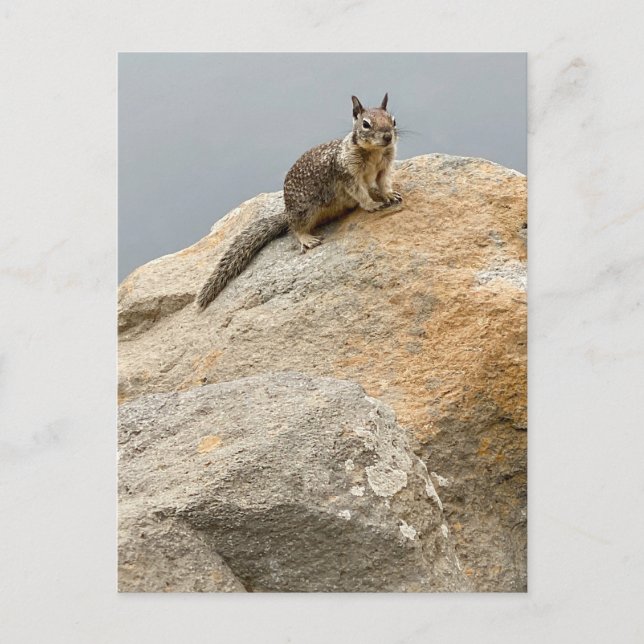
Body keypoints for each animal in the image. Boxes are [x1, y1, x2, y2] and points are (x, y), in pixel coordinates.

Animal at [196, 93, 402, 310]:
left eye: (393, 120)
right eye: (366, 124)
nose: (388, 137)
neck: (374, 152)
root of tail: (287, 212)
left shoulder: (385, 167)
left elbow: (384, 182)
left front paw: (388, 195)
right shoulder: (347, 174)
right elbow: (360, 192)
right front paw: (372, 204)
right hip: (305, 211)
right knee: (294, 228)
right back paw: (306, 238)